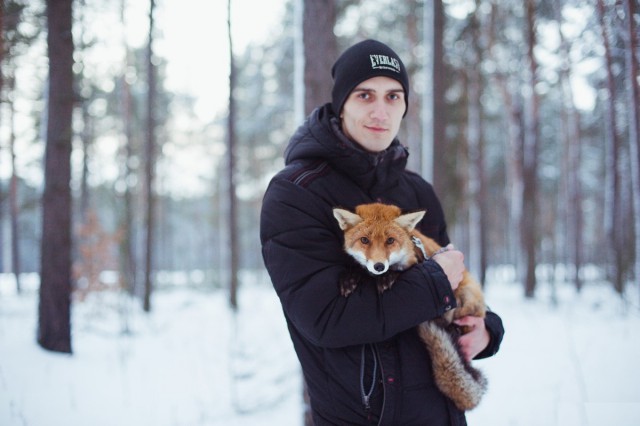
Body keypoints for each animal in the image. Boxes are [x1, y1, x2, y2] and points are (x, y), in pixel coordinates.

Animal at [333, 202, 488, 411]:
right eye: (364, 240)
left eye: (390, 240)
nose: (379, 266)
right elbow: (360, 270)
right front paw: (350, 277)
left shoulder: (416, 262)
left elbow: (404, 272)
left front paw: (387, 277)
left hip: (467, 297)